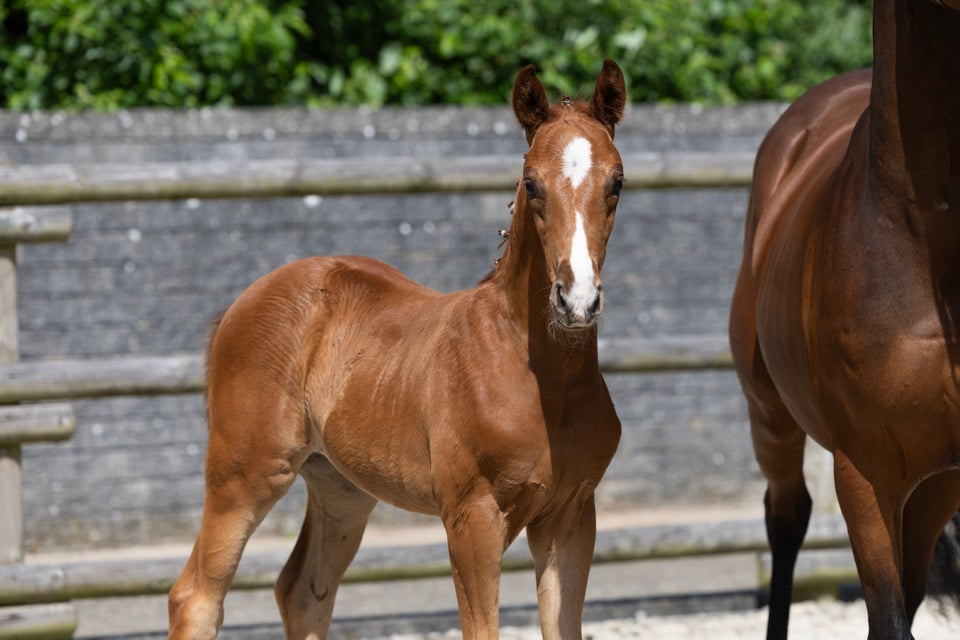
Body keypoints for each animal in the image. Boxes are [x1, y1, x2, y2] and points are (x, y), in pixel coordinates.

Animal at [169, 58, 628, 636]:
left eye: (617, 182)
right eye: (532, 183)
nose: (577, 300)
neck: (544, 379)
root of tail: (241, 302)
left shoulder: (571, 516)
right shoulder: (471, 517)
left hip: (340, 487)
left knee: (302, 591)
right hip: (246, 474)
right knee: (196, 595)